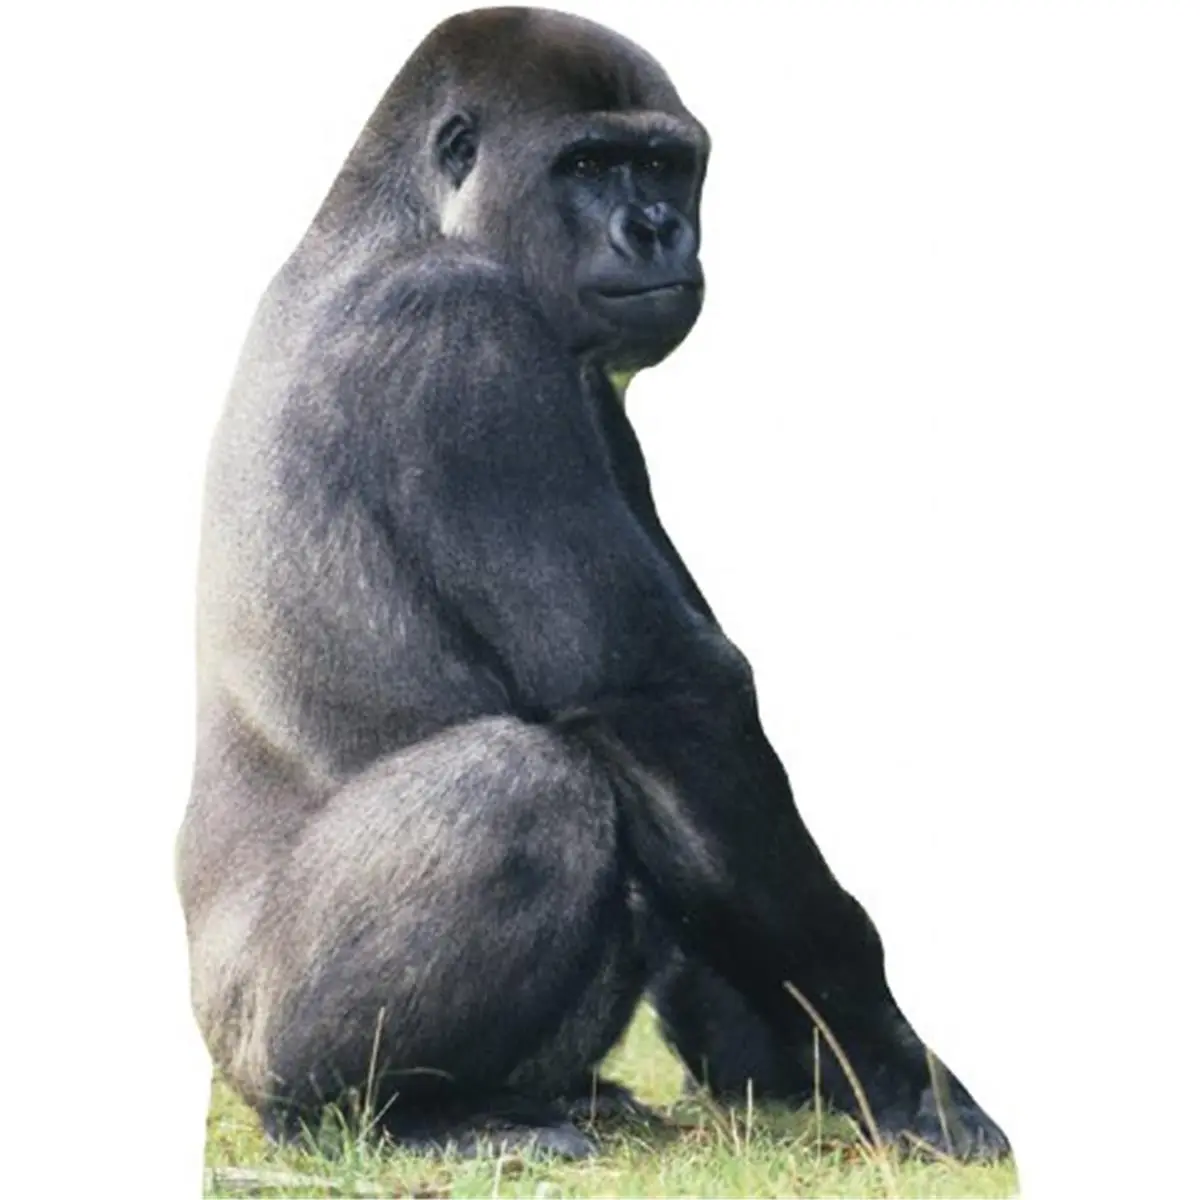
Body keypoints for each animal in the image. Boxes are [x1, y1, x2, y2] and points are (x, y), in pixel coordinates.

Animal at [177, 5, 1011, 1161]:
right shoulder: (463, 333)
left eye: (663, 164)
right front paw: (893, 1066)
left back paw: (553, 1095)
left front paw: (783, 1055)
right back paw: (395, 1115)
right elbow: (662, 698)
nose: (656, 229)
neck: (403, 221)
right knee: (523, 787)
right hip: (259, 1045)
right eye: (587, 165)